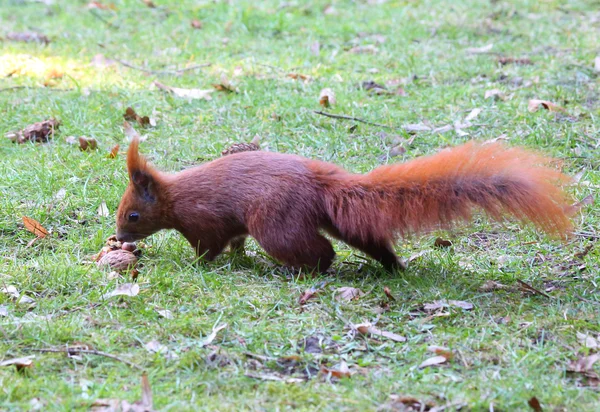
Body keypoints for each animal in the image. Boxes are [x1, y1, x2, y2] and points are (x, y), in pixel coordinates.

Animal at [116, 138, 572, 272]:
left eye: (133, 215)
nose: (119, 238)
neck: (174, 196)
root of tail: (320, 185)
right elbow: (234, 242)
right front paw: (237, 257)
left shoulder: (203, 221)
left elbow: (208, 246)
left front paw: (197, 265)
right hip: (338, 221)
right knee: (367, 239)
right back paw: (393, 267)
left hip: (277, 223)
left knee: (321, 251)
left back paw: (306, 270)